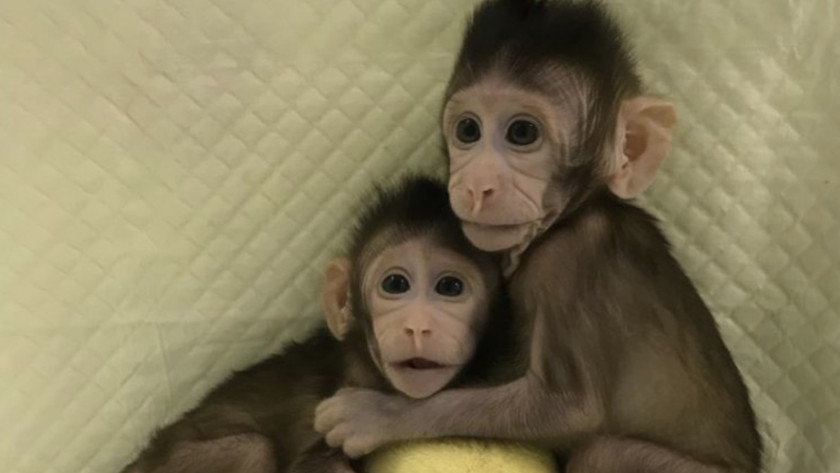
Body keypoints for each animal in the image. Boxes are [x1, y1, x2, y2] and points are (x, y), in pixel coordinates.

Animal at [314, 1, 763, 472]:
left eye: (522, 133)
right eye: (468, 130)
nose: (477, 185)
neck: (572, 215)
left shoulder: (567, 262)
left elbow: (569, 407)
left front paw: (379, 415)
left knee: (603, 450)